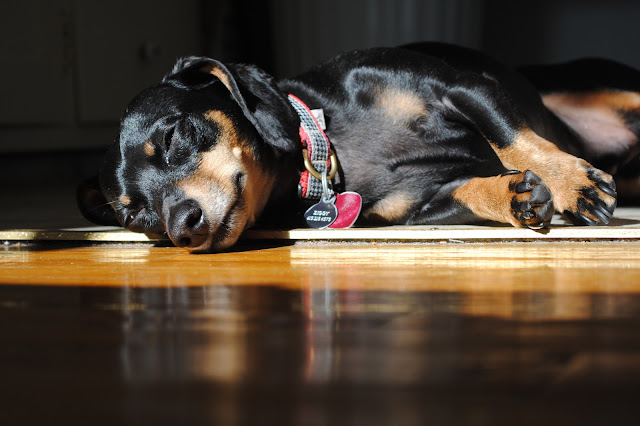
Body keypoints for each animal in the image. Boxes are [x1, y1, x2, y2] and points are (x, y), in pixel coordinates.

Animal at [78, 42, 640, 253]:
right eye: (137, 219)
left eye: (172, 136)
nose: (183, 228)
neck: (335, 149)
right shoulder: (419, 208)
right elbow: (475, 190)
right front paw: (515, 197)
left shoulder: (462, 87)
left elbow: (514, 139)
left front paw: (572, 185)